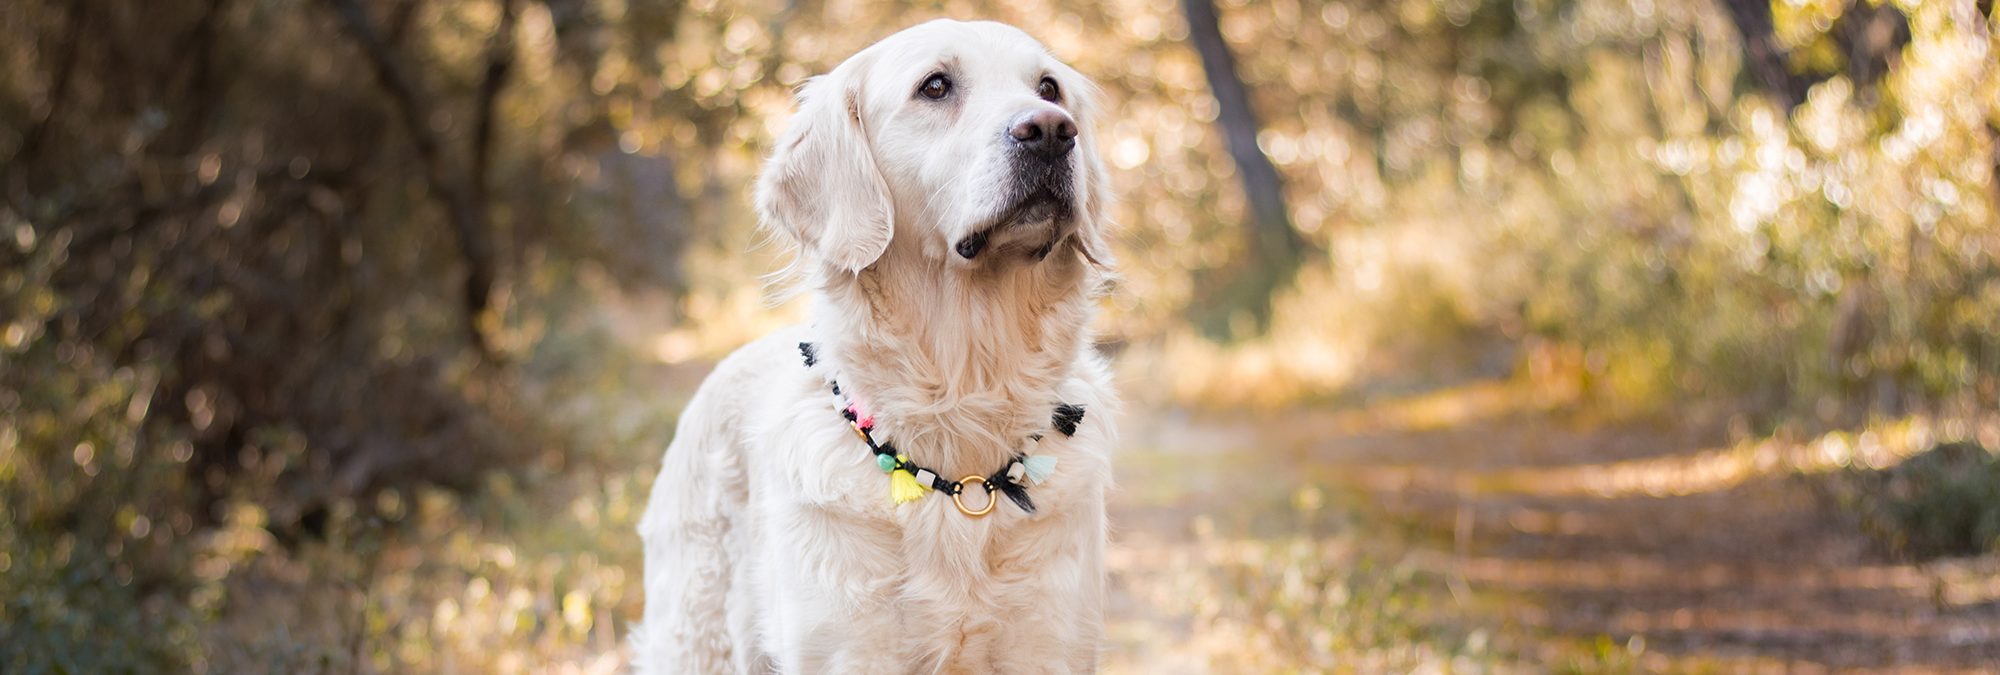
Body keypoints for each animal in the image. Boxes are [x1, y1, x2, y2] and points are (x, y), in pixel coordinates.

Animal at [632, 18, 1120, 671]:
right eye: (935, 86)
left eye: (1050, 87)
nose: (1051, 130)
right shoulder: (848, 647)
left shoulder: (1049, 641)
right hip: (695, 634)